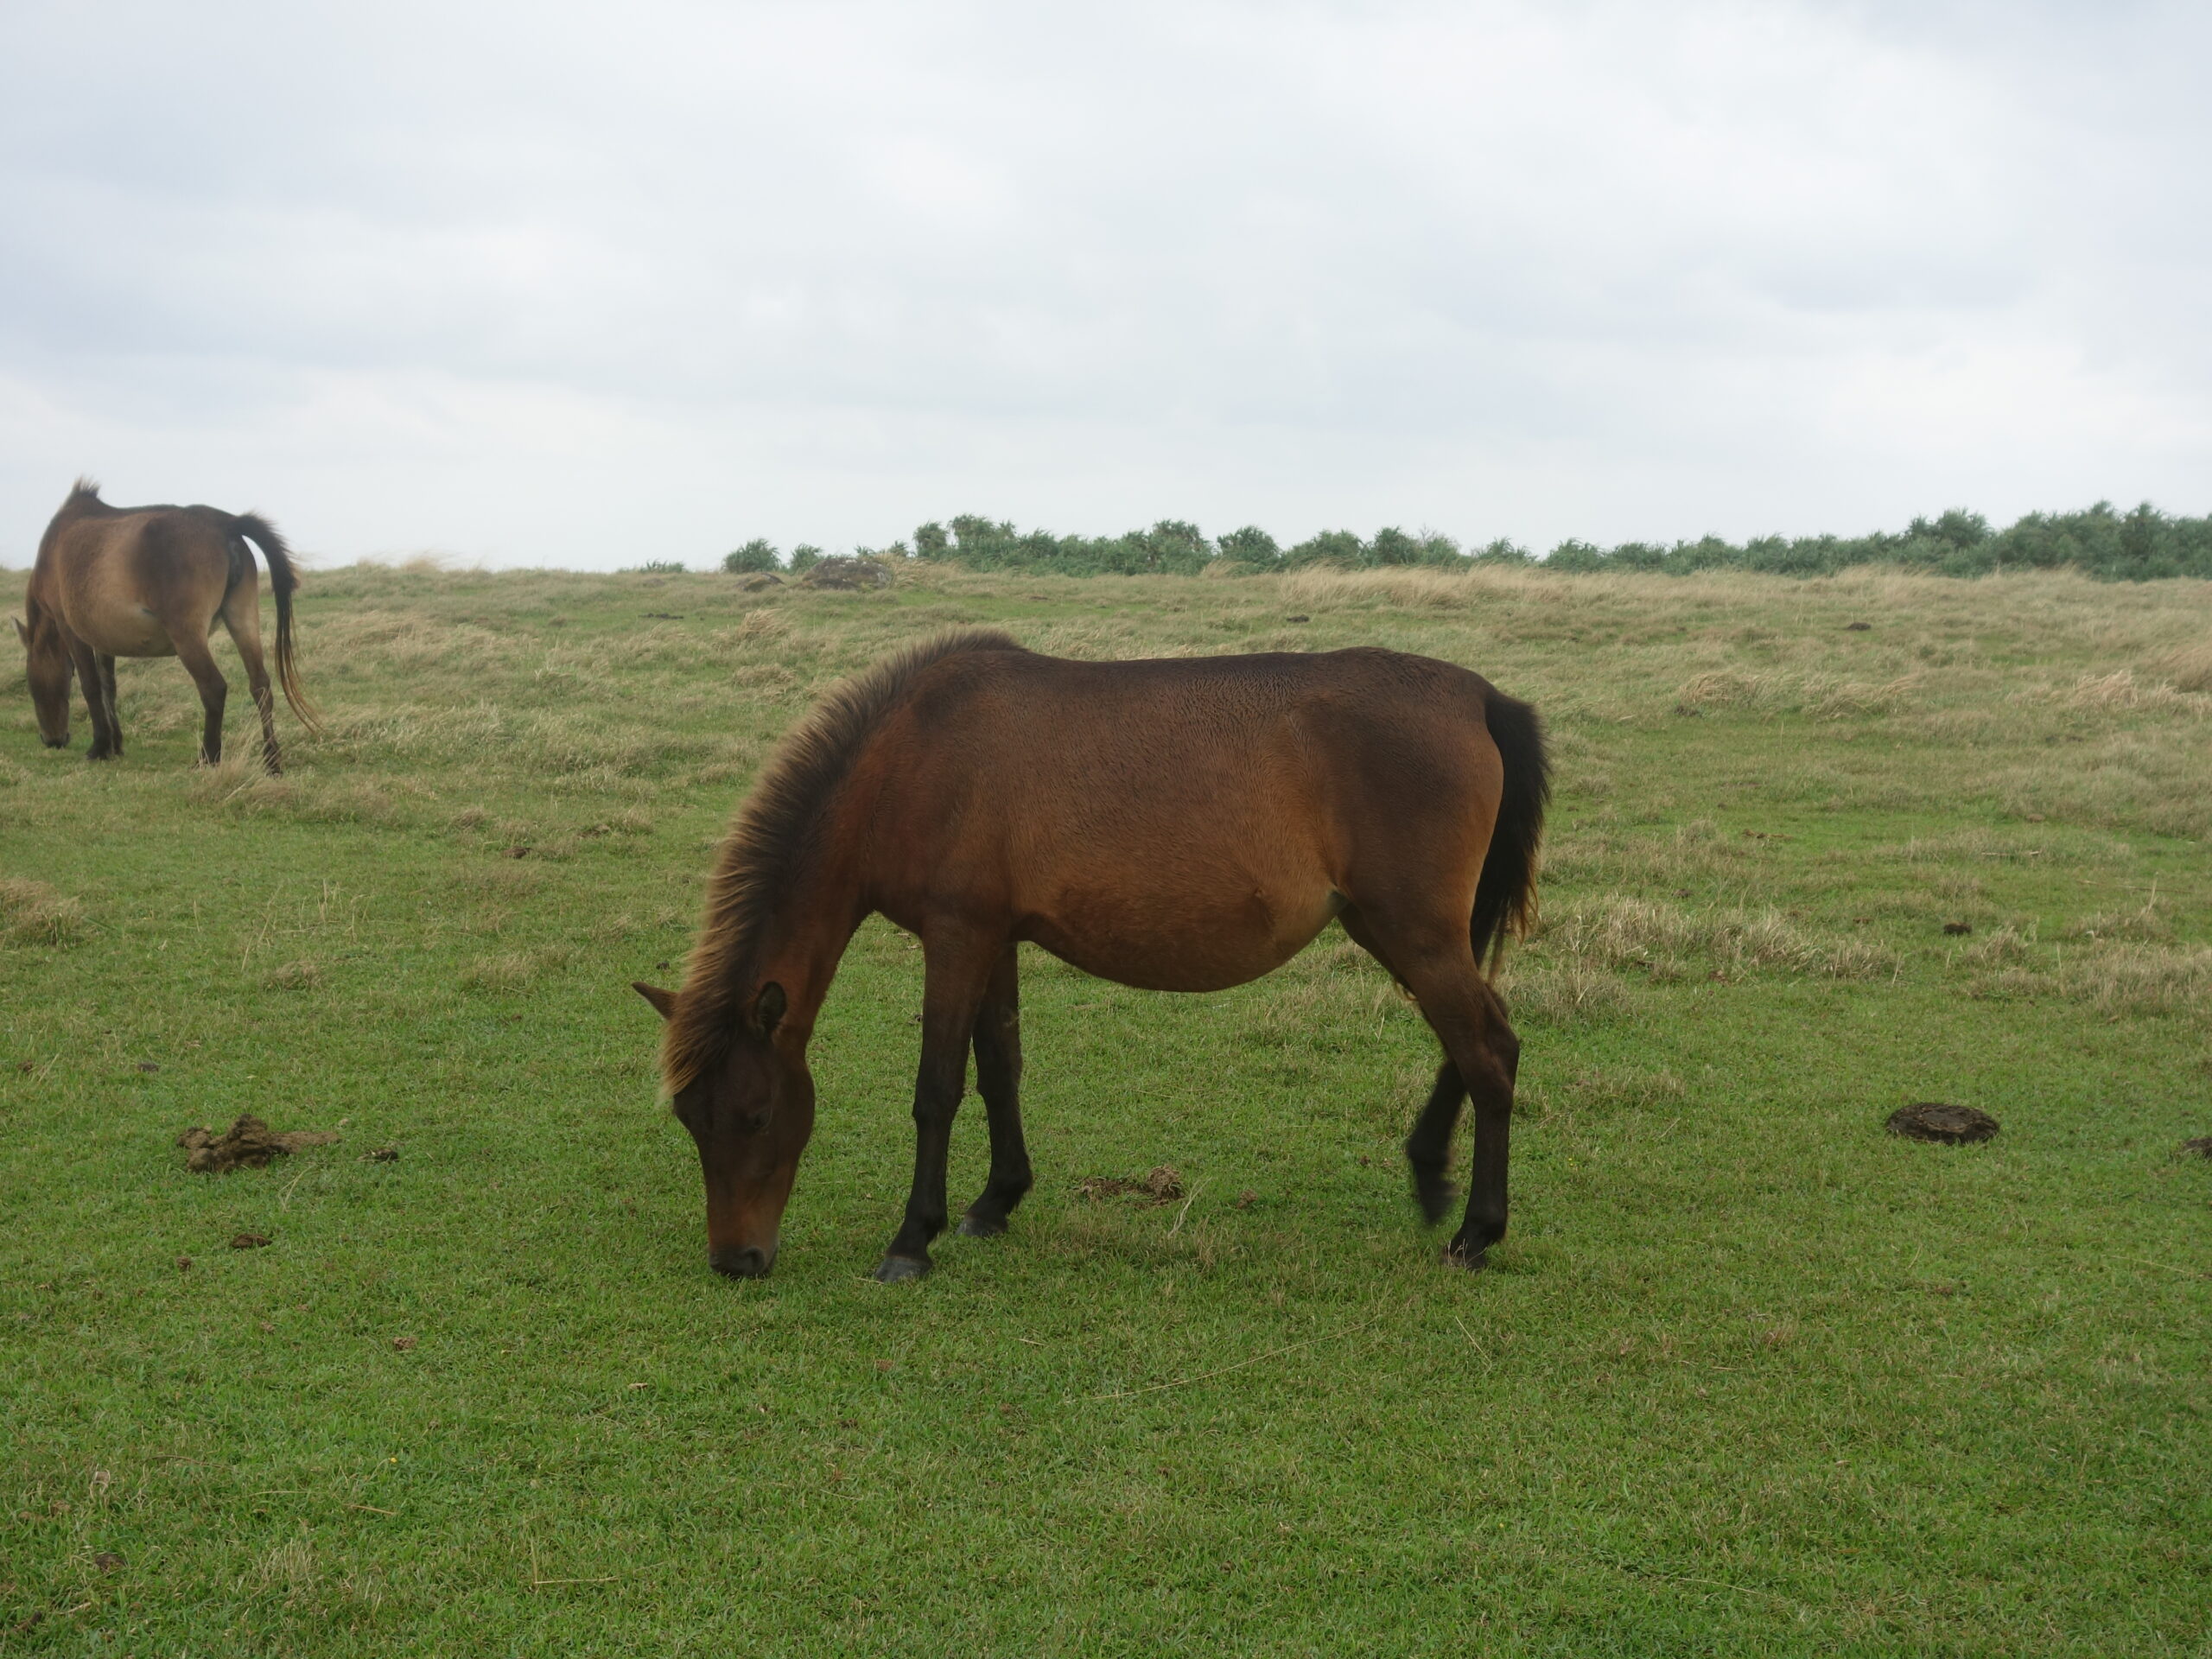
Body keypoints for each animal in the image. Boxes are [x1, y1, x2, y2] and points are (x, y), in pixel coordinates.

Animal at [14, 477, 321, 769]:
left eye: (31, 684)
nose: (52, 740)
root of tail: (225, 523)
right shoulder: (102, 638)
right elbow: (108, 688)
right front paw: (115, 745)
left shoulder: (70, 629)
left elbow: (91, 687)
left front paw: (99, 747)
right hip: (242, 619)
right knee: (260, 686)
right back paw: (272, 761)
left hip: (187, 635)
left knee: (214, 688)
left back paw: (208, 758)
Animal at [632, 628, 1548, 1282]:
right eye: (689, 1120)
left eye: (755, 1116)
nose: (737, 1260)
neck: (912, 758)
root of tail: (1480, 697)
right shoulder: (993, 938)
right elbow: (999, 1068)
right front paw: (995, 1201)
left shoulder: (956, 936)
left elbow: (938, 1090)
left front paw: (912, 1241)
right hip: (1399, 930)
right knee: (1469, 1045)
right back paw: (1432, 1178)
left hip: (1413, 932)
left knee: (1490, 1052)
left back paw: (1476, 1233)